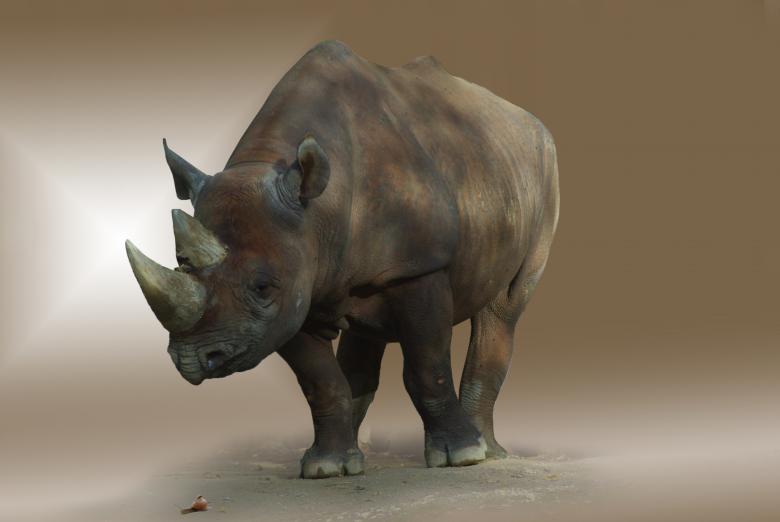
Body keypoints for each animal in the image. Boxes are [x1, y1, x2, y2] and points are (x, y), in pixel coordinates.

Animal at [126, 40, 559, 478]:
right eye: (180, 264)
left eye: (262, 287)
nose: (192, 359)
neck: (318, 212)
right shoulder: (296, 288)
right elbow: (320, 381)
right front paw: (325, 468)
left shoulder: (418, 267)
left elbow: (428, 364)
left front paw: (459, 456)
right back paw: (356, 454)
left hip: (543, 168)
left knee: (503, 308)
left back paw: (488, 452)